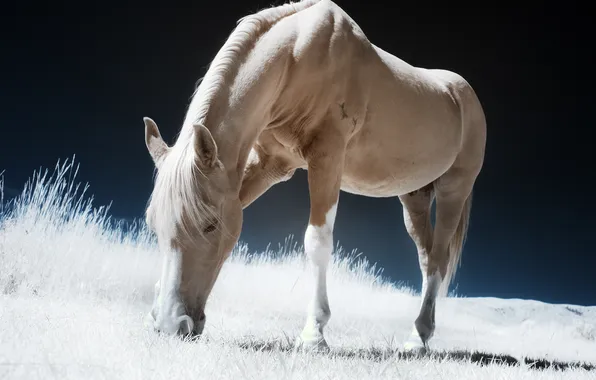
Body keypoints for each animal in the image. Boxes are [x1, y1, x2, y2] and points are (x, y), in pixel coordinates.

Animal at [142, 0, 486, 354]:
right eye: (153, 223)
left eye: (210, 225)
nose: (169, 324)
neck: (297, 57)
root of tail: (461, 93)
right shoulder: (267, 167)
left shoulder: (327, 160)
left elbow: (317, 242)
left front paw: (313, 334)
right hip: (414, 197)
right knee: (426, 258)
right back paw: (418, 335)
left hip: (454, 190)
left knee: (438, 260)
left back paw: (419, 338)